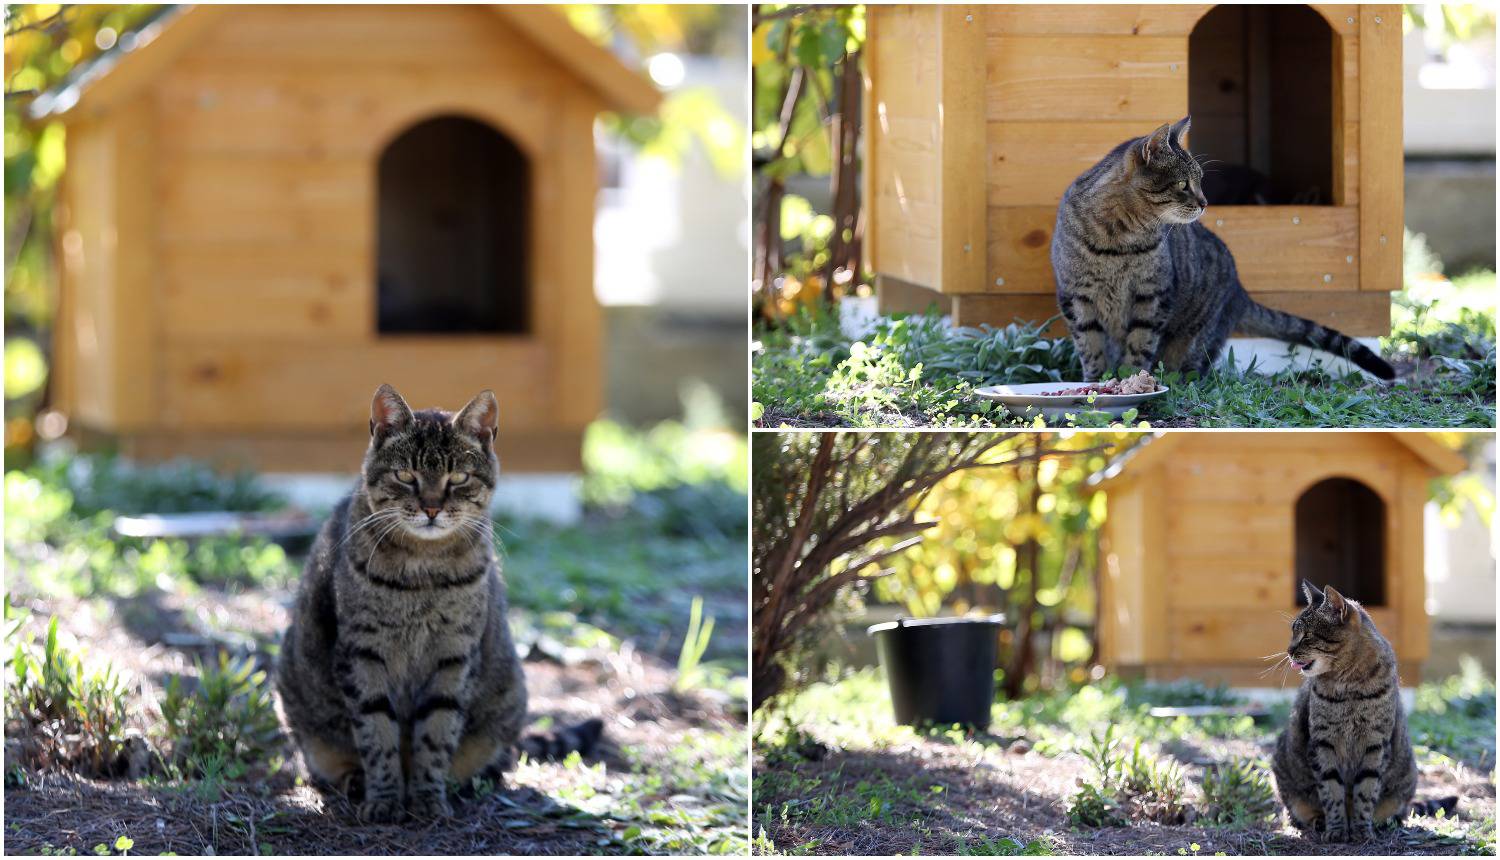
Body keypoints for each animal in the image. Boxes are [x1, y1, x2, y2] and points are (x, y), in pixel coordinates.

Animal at [273, 384, 600, 822]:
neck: (424, 574)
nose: (431, 508)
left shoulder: (454, 653)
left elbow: (437, 731)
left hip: (510, 694)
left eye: (458, 478)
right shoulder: (363, 651)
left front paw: (427, 798)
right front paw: (385, 799)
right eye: (406, 476)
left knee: (501, 755)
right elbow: (377, 731)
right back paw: (355, 781)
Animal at [1056, 116, 1392, 382]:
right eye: (1183, 184)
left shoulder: (1152, 296)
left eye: (1200, 181)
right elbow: (1090, 346)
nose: (1205, 203)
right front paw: (1097, 382)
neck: (1118, 239)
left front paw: (1130, 379)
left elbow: (1140, 344)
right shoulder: (1076, 297)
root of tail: (1239, 291)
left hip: (1194, 341)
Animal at [1266, 579, 1452, 840]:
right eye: (1293, 632)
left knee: (1400, 809)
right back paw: (1318, 821)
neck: (1350, 687)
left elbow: (1365, 791)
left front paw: (1362, 830)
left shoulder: (1375, 743)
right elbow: (1331, 791)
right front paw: (1336, 830)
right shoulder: (1323, 742)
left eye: (1307, 635)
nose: (1288, 650)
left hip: (1407, 774)